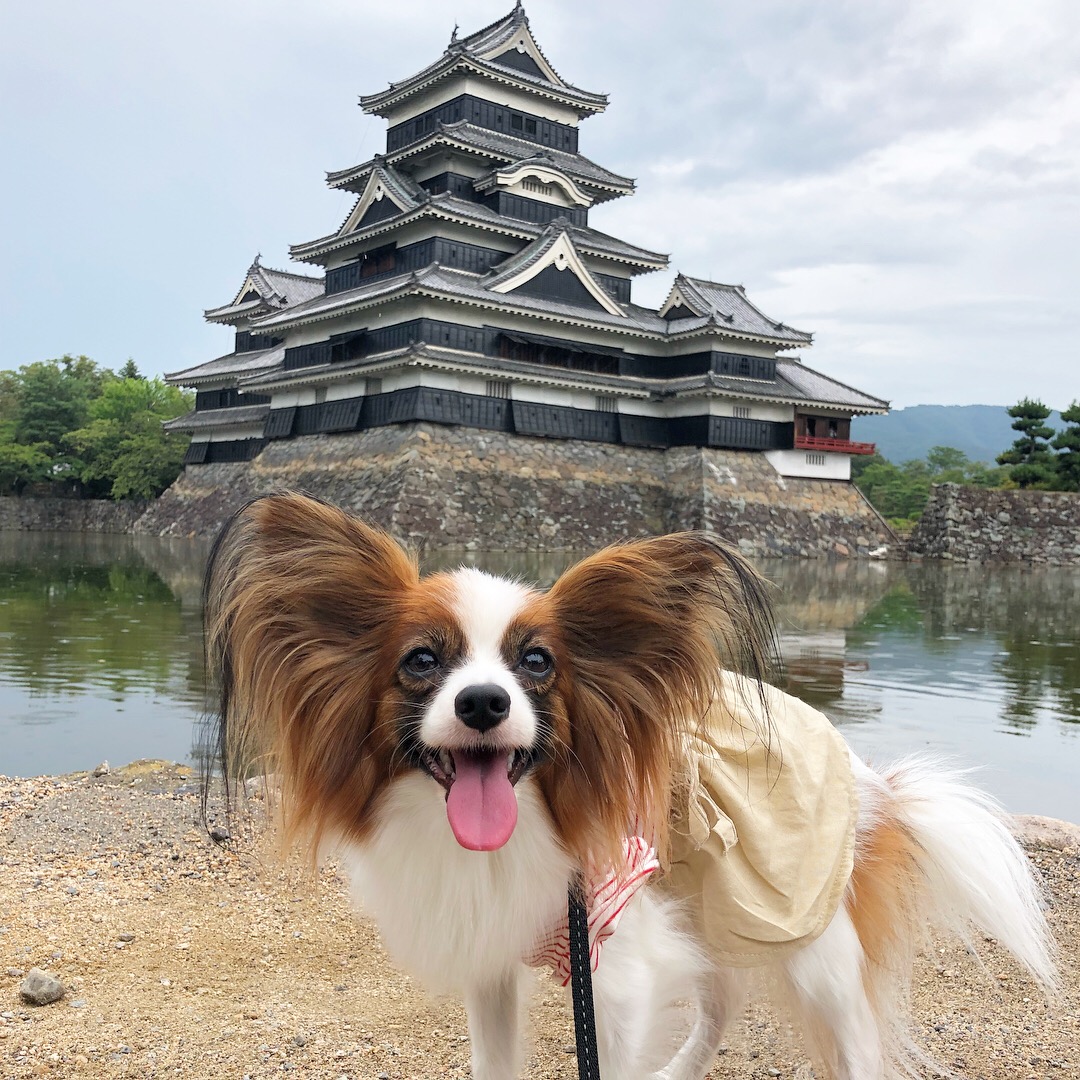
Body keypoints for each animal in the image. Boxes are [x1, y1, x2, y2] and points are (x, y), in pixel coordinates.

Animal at [203, 494, 1054, 1075]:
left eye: (537, 662)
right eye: (420, 661)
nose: (484, 703)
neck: (516, 834)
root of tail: (880, 786)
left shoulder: (616, 967)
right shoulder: (493, 960)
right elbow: (494, 1060)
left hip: (816, 948)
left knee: (855, 1046)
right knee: (720, 1006)